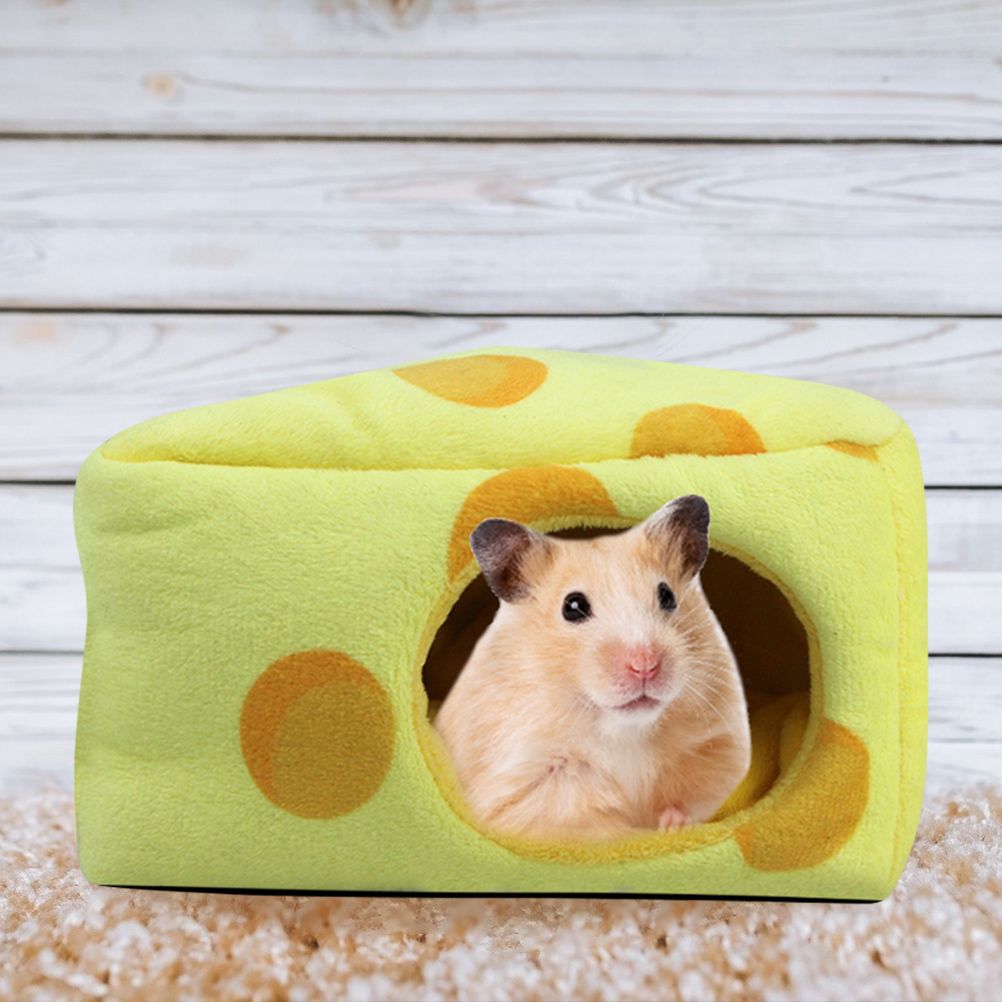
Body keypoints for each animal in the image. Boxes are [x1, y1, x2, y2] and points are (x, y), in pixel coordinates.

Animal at [434, 495, 751, 841]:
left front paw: (673, 824)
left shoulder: (716, 745)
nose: (645, 665)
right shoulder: (532, 781)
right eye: (572, 606)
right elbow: (590, 828)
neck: (625, 731)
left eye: (667, 596)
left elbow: (693, 798)